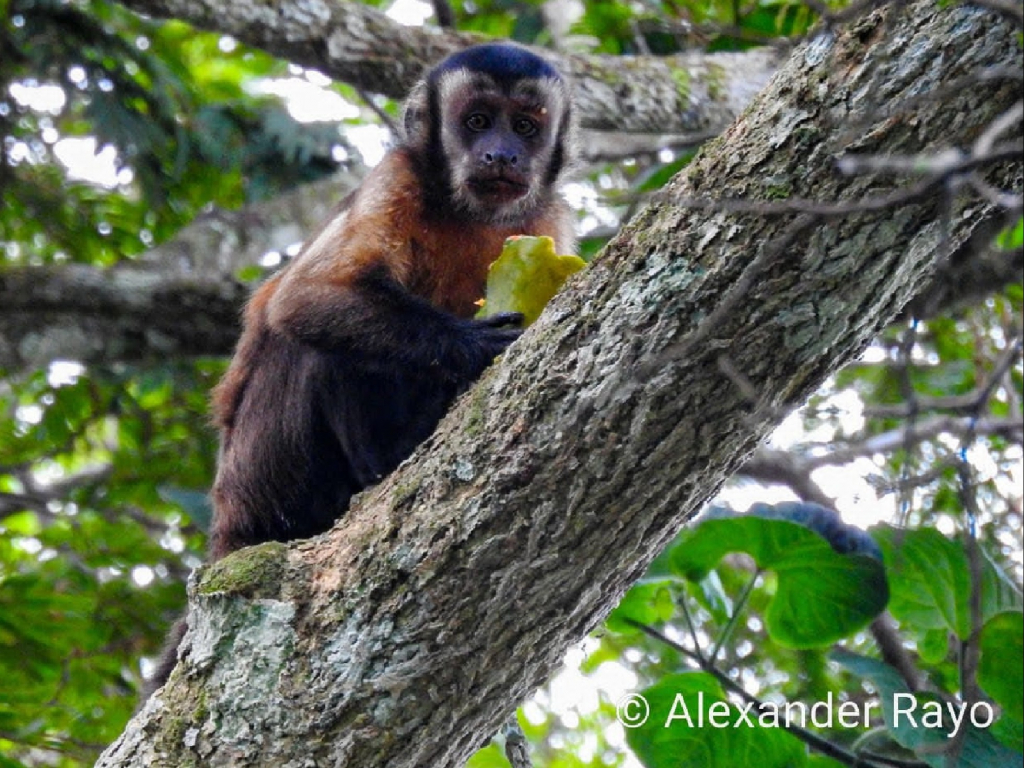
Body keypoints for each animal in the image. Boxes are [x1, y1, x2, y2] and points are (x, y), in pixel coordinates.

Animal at [144, 43, 577, 696]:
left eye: (525, 127)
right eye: (478, 121)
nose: (501, 153)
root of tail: (227, 522)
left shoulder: (548, 215)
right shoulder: (395, 177)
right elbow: (305, 299)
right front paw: (475, 345)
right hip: (267, 471)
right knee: (310, 339)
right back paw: (384, 464)